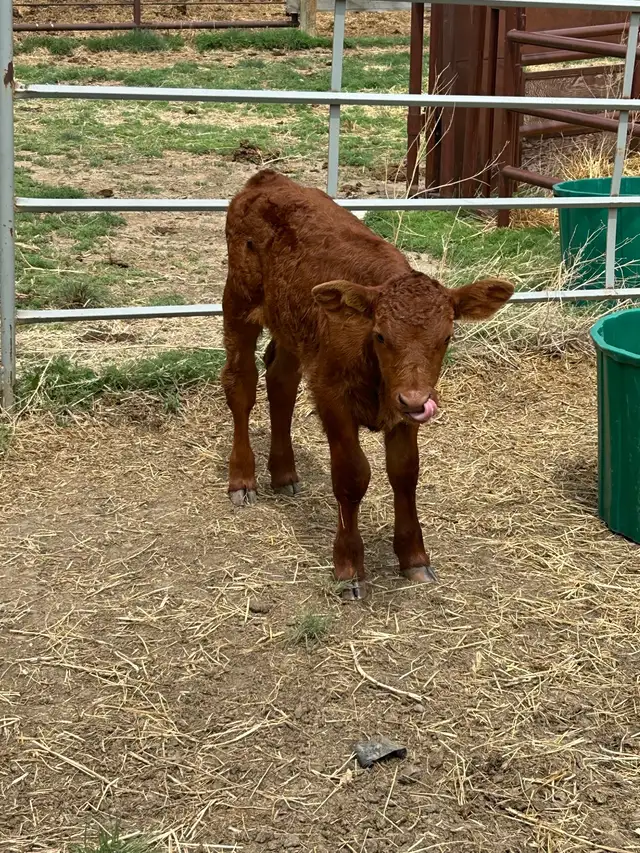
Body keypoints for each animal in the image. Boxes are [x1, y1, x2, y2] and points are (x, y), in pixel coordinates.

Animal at [221, 170, 513, 601]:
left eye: (447, 337)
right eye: (380, 335)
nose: (416, 400)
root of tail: (267, 179)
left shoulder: (404, 407)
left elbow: (405, 473)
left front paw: (414, 558)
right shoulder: (332, 396)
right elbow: (352, 476)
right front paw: (349, 566)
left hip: (293, 327)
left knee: (281, 381)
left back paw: (284, 473)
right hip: (238, 304)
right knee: (241, 384)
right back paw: (243, 478)